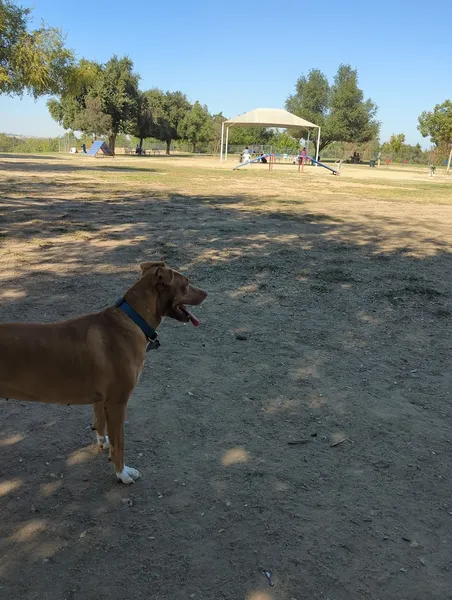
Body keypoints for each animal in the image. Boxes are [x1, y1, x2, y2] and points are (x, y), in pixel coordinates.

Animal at [0, 262, 207, 482]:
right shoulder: (118, 403)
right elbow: (120, 444)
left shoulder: (101, 399)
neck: (132, 319)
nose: (206, 293)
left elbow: (99, 421)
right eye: (186, 283)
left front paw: (103, 441)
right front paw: (122, 473)